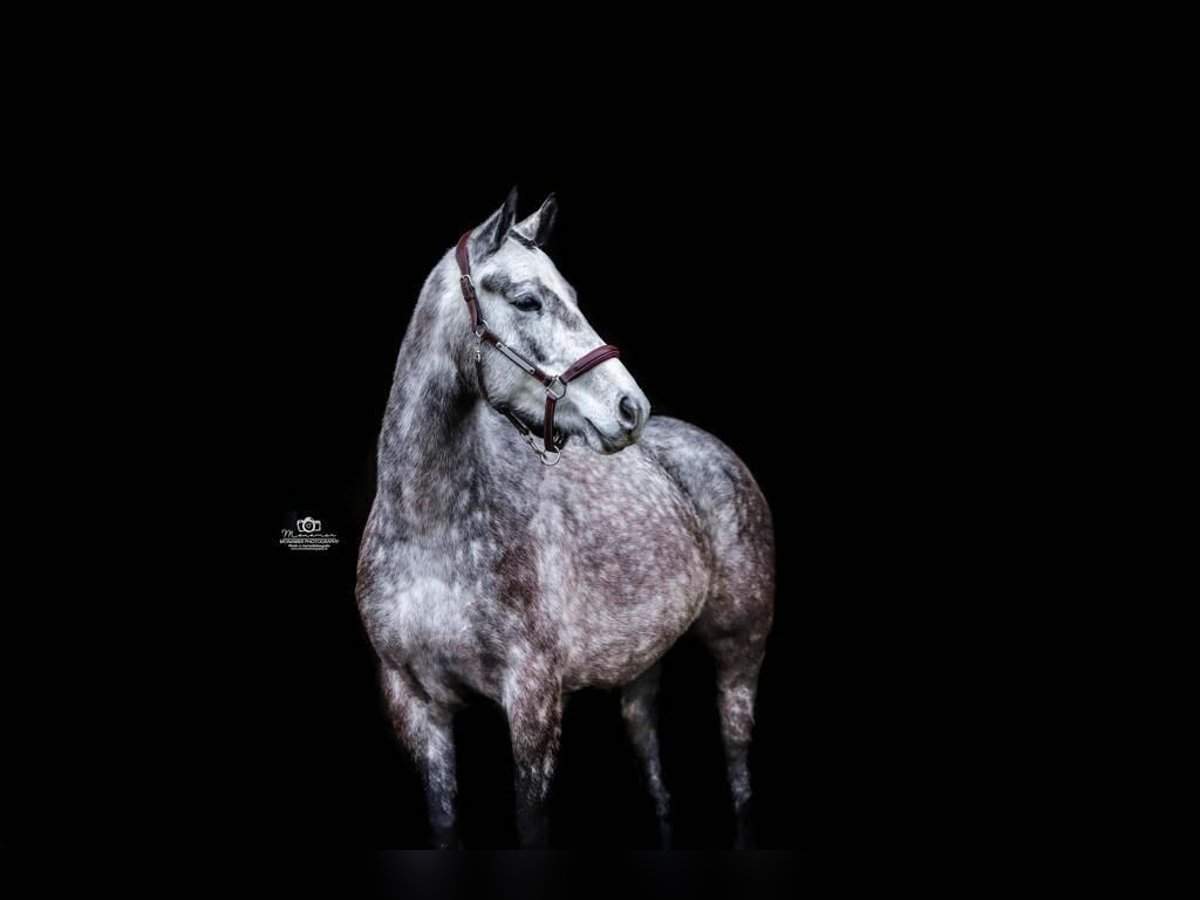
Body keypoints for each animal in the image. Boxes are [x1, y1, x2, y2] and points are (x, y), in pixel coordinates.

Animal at [352, 188, 777, 844]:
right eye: (528, 300)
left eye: (573, 297)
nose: (631, 408)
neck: (431, 531)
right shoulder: (414, 702)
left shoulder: (533, 699)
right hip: (640, 665)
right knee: (654, 769)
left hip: (740, 653)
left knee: (737, 768)